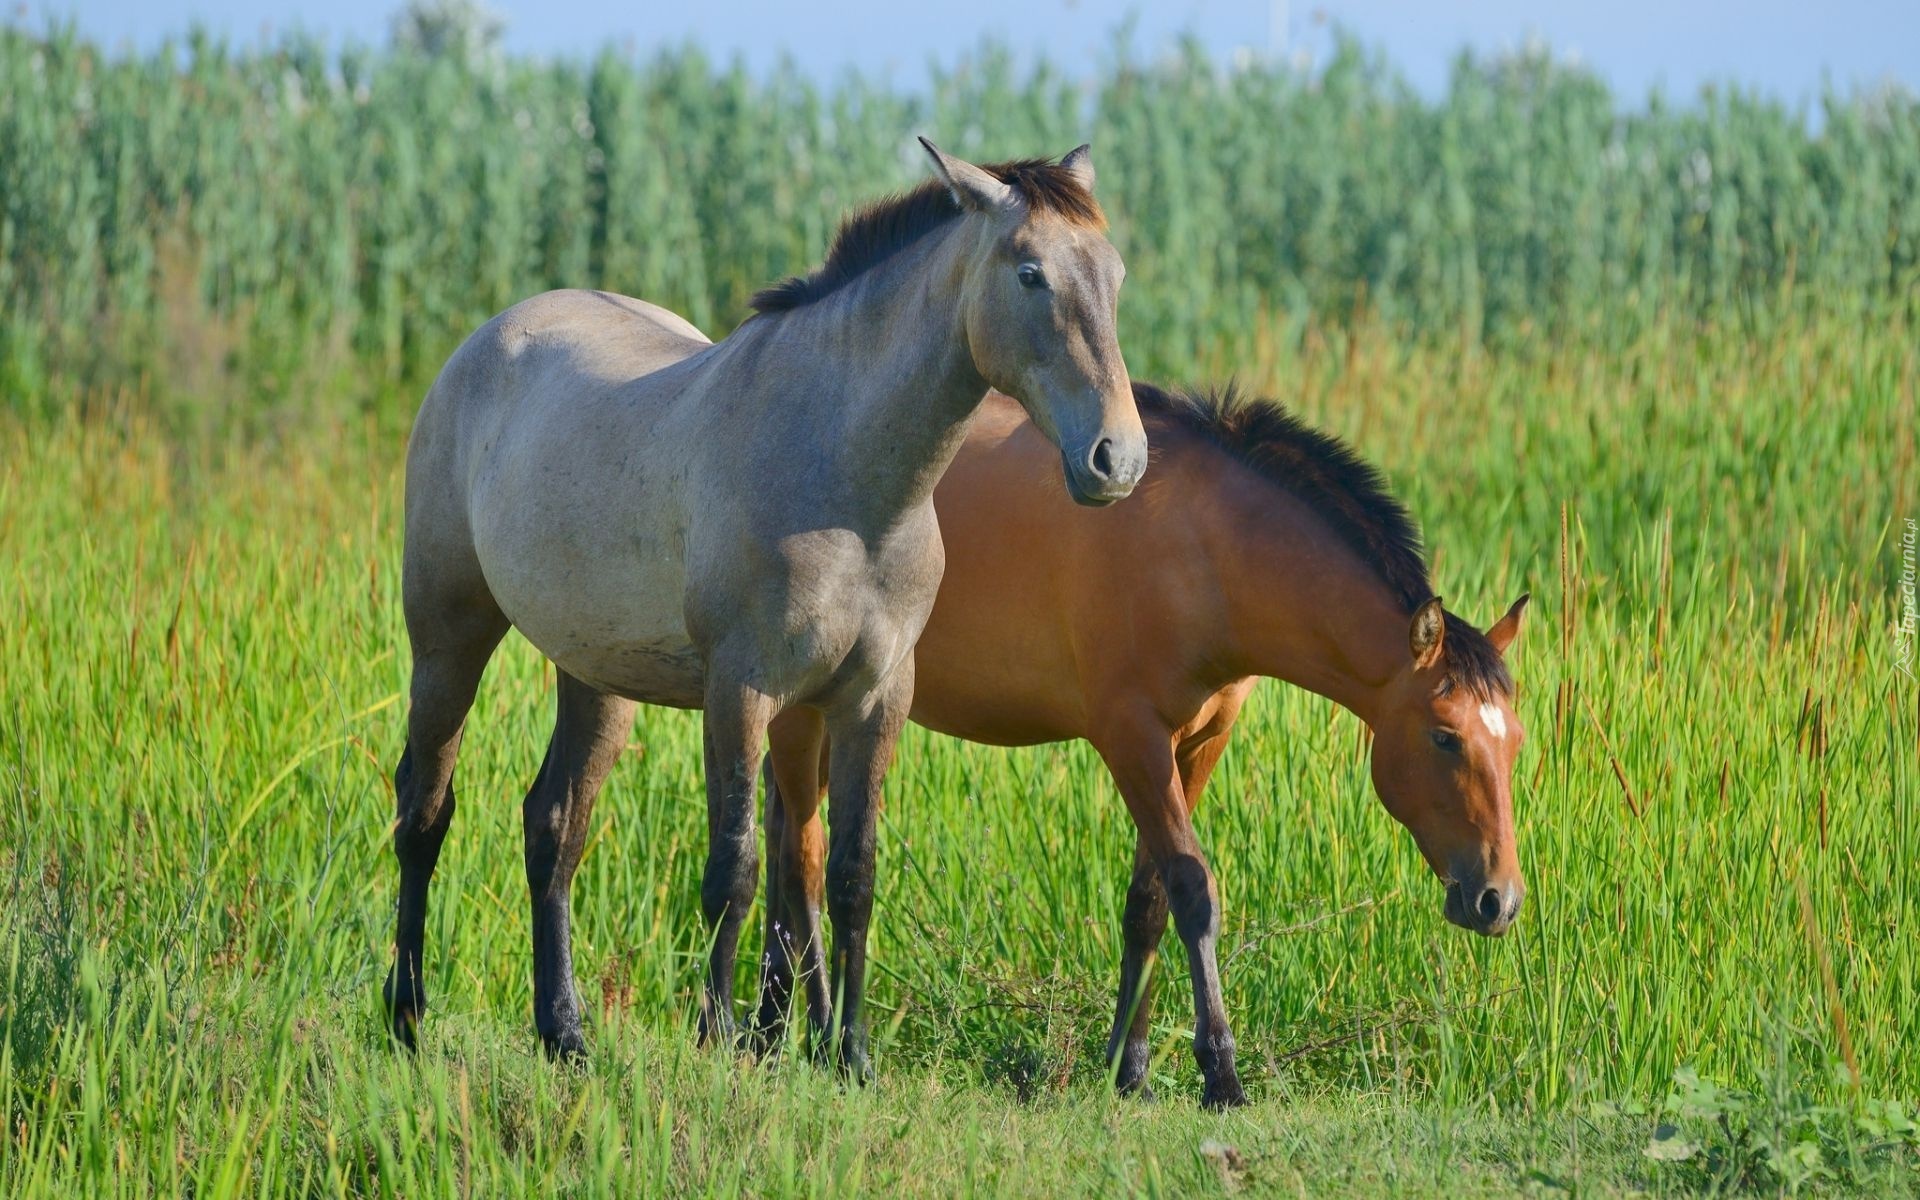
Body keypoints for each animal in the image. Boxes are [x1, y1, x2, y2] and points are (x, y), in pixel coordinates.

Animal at [382, 135, 1144, 1075]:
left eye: (1113, 274)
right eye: (1031, 273)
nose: (1118, 458)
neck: (845, 479)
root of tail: (486, 341)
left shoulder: (873, 698)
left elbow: (850, 874)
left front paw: (851, 1056)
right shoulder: (740, 692)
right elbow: (736, 869)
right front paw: (718, 1037)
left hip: (596, 678)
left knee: (554, 827)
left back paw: (563, 1033)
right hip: (447, 639)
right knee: (424, 809)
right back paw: (407, 1016)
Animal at [748, 384, 1528, 1105]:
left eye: (1515, 741)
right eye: (1444, 737)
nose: (1500, 900)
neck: (1204, 546)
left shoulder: (1200, 741)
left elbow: (1149, 901)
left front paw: (1133, 1071)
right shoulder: (1132, 737)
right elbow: (1193, 890)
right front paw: (1220, 1074)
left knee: (785, 835)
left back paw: (768, 1029)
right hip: (812, 707)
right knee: (801, 853)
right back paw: (813, 1035)